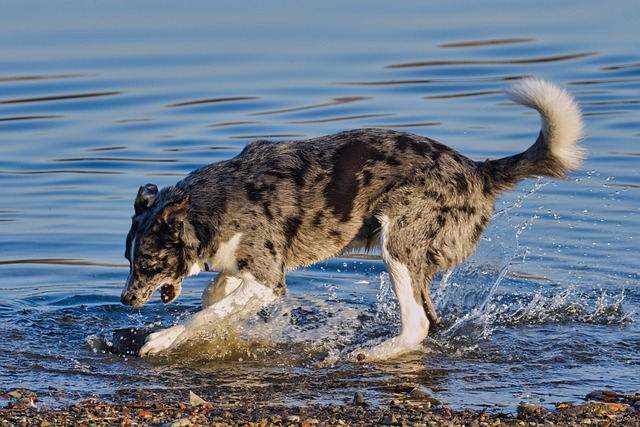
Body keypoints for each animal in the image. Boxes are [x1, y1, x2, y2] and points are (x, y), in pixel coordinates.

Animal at [120, 78, 584, 360]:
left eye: (146, 263)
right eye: (127, 260)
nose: (125, 300)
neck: (208, 206)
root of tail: (477, 169)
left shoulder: (270, 282)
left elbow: (201, 315)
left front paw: (162, 339)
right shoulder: (246, 270)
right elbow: (213, 298)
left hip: (398, 244)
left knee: (417, 324)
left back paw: (372, 353)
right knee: (432, 322)